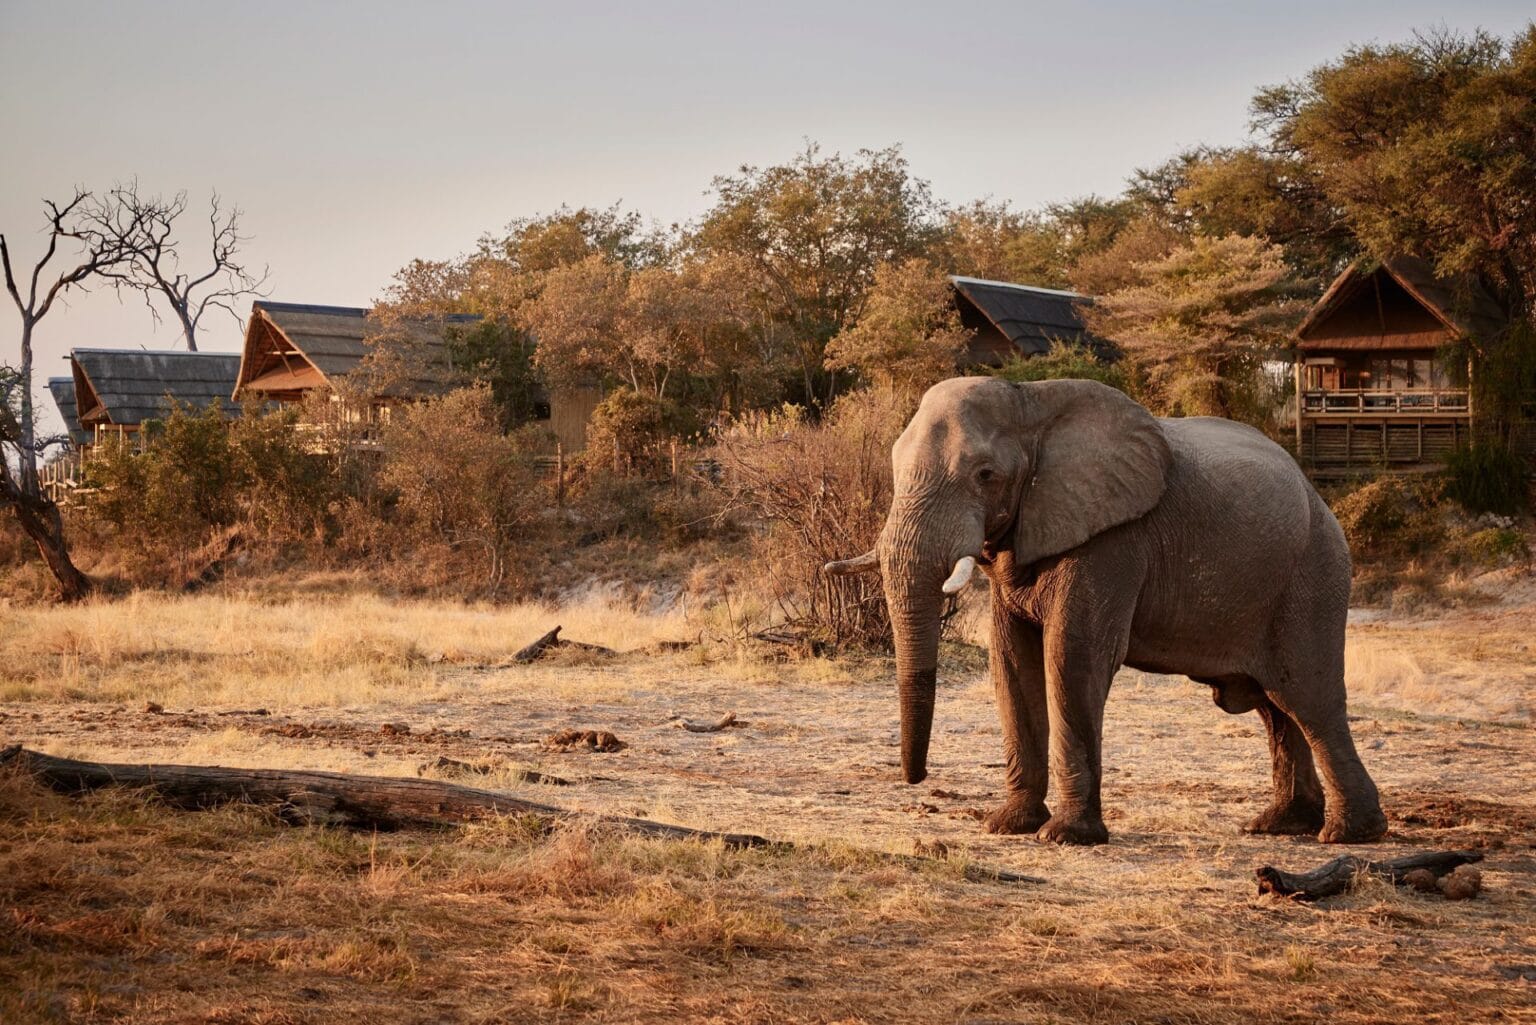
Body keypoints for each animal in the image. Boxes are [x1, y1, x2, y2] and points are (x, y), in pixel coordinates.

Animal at [825, 376, 1388, 846]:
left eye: (985, 475)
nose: (916, 778)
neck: (1031, 402)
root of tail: (1319, 498)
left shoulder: (1115, 539)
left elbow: (1073, 657)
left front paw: (1065, 837)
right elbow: (1011, 662)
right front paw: (1008, 825)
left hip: (1313, 574)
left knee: (1307, 698)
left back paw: (1347, 835)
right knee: (1276, 707)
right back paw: (1280, 826)